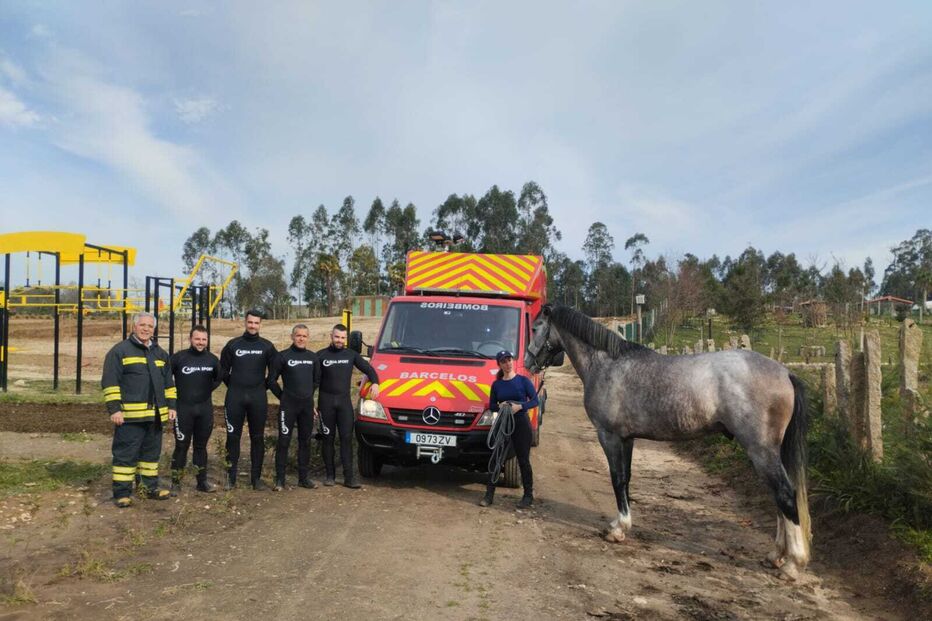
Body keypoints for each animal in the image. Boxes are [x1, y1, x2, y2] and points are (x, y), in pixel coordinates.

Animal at [525, 304, 811, 580]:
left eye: (536, 327)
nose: (528, 363)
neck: (607, 364)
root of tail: (785, 373)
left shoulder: (609, 436)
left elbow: (617, 479)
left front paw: (618, 530)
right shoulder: (627, 439)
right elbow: (626, 479)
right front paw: (622, 524)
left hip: (761, 451)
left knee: (785, 494)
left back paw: (792, 565)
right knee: (778, 497)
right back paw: (776, 555)